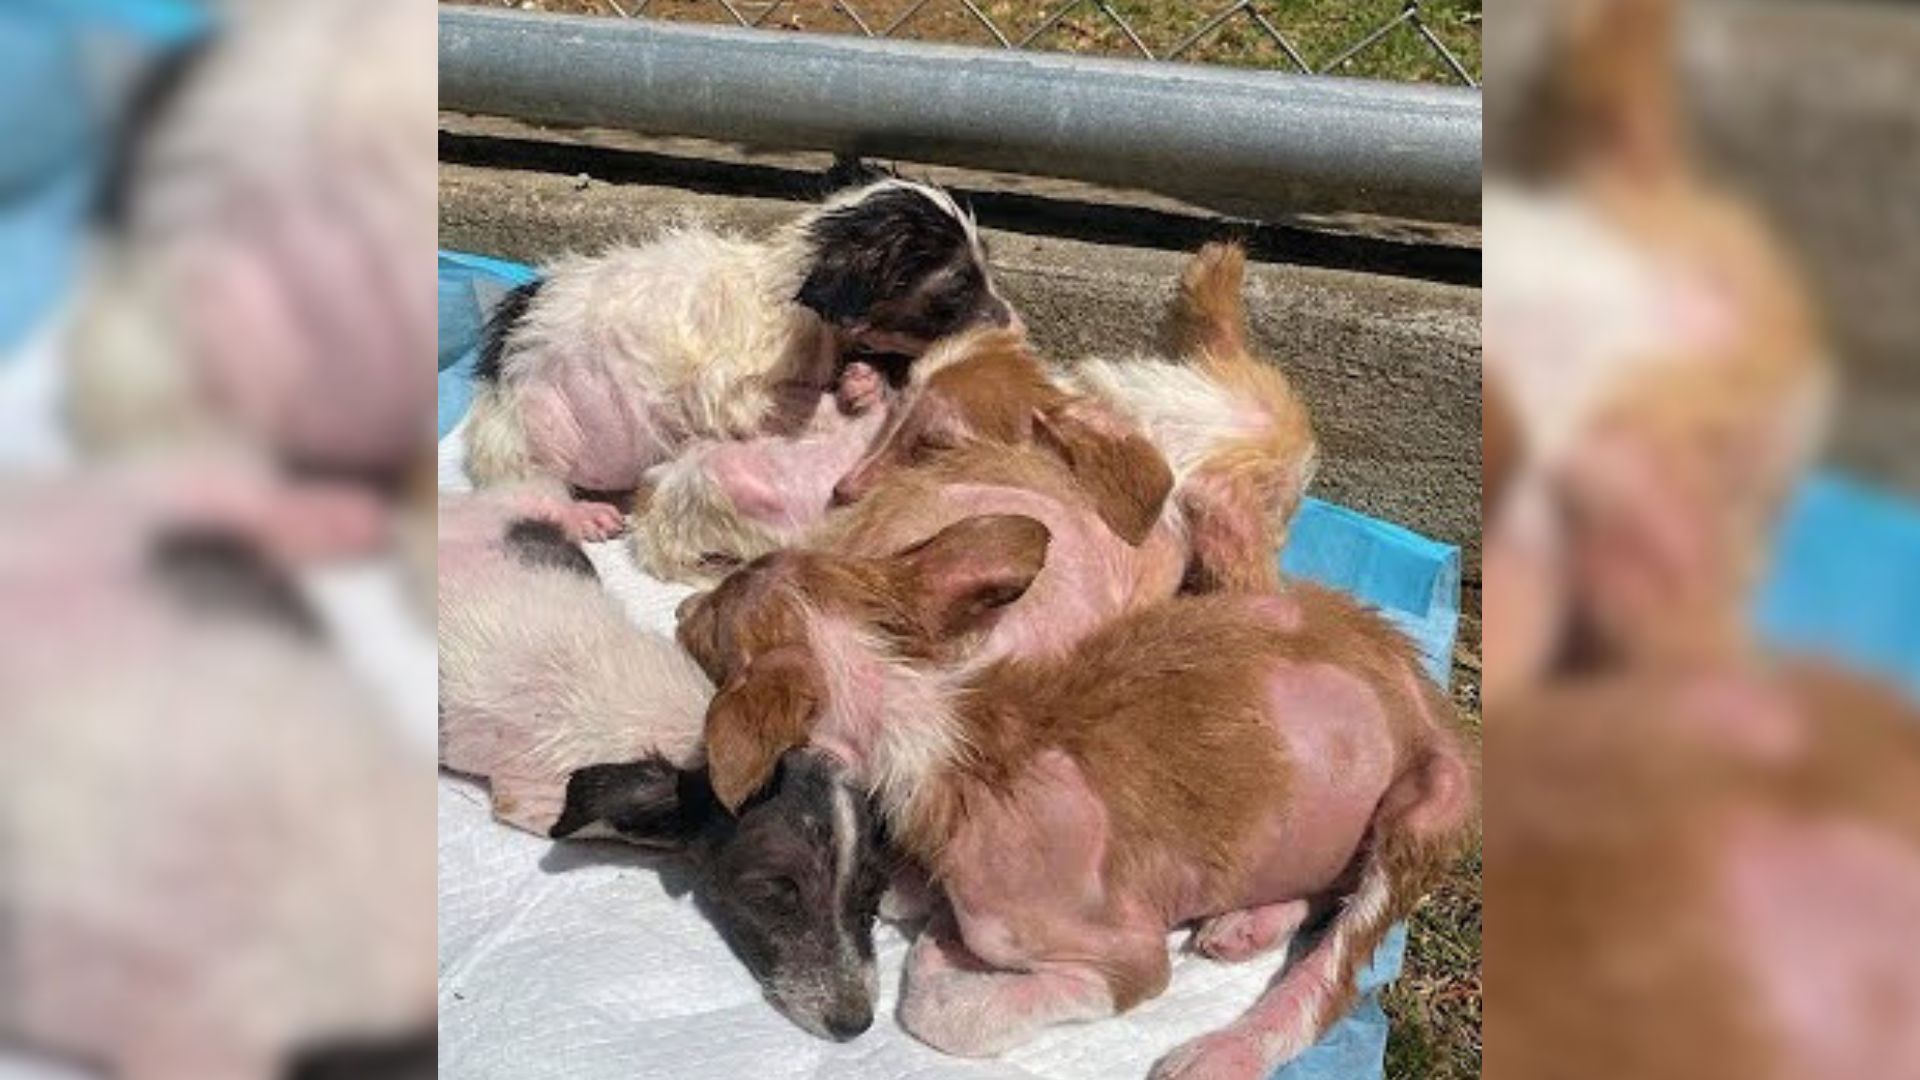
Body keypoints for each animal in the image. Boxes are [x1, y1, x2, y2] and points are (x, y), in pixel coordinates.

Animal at [460, 181, 1021, 541]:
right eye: (958, 290)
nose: (1016, 324)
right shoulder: (733, 390)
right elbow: (785, 402)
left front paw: (864, 380)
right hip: (529, 429)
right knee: (526, 488)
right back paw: (579, 516)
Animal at [675, 518, 1466, 1068]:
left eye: (710, 621)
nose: (679, 609)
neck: (922, 715)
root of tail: (1425, 686)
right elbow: (903, 892)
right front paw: (919, 896)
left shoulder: (1128, 955)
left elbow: (941, 1012)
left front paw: (942, 958)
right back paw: (1250, 923)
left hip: (1434, 801)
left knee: (1339, 961)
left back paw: (1225, 1052)